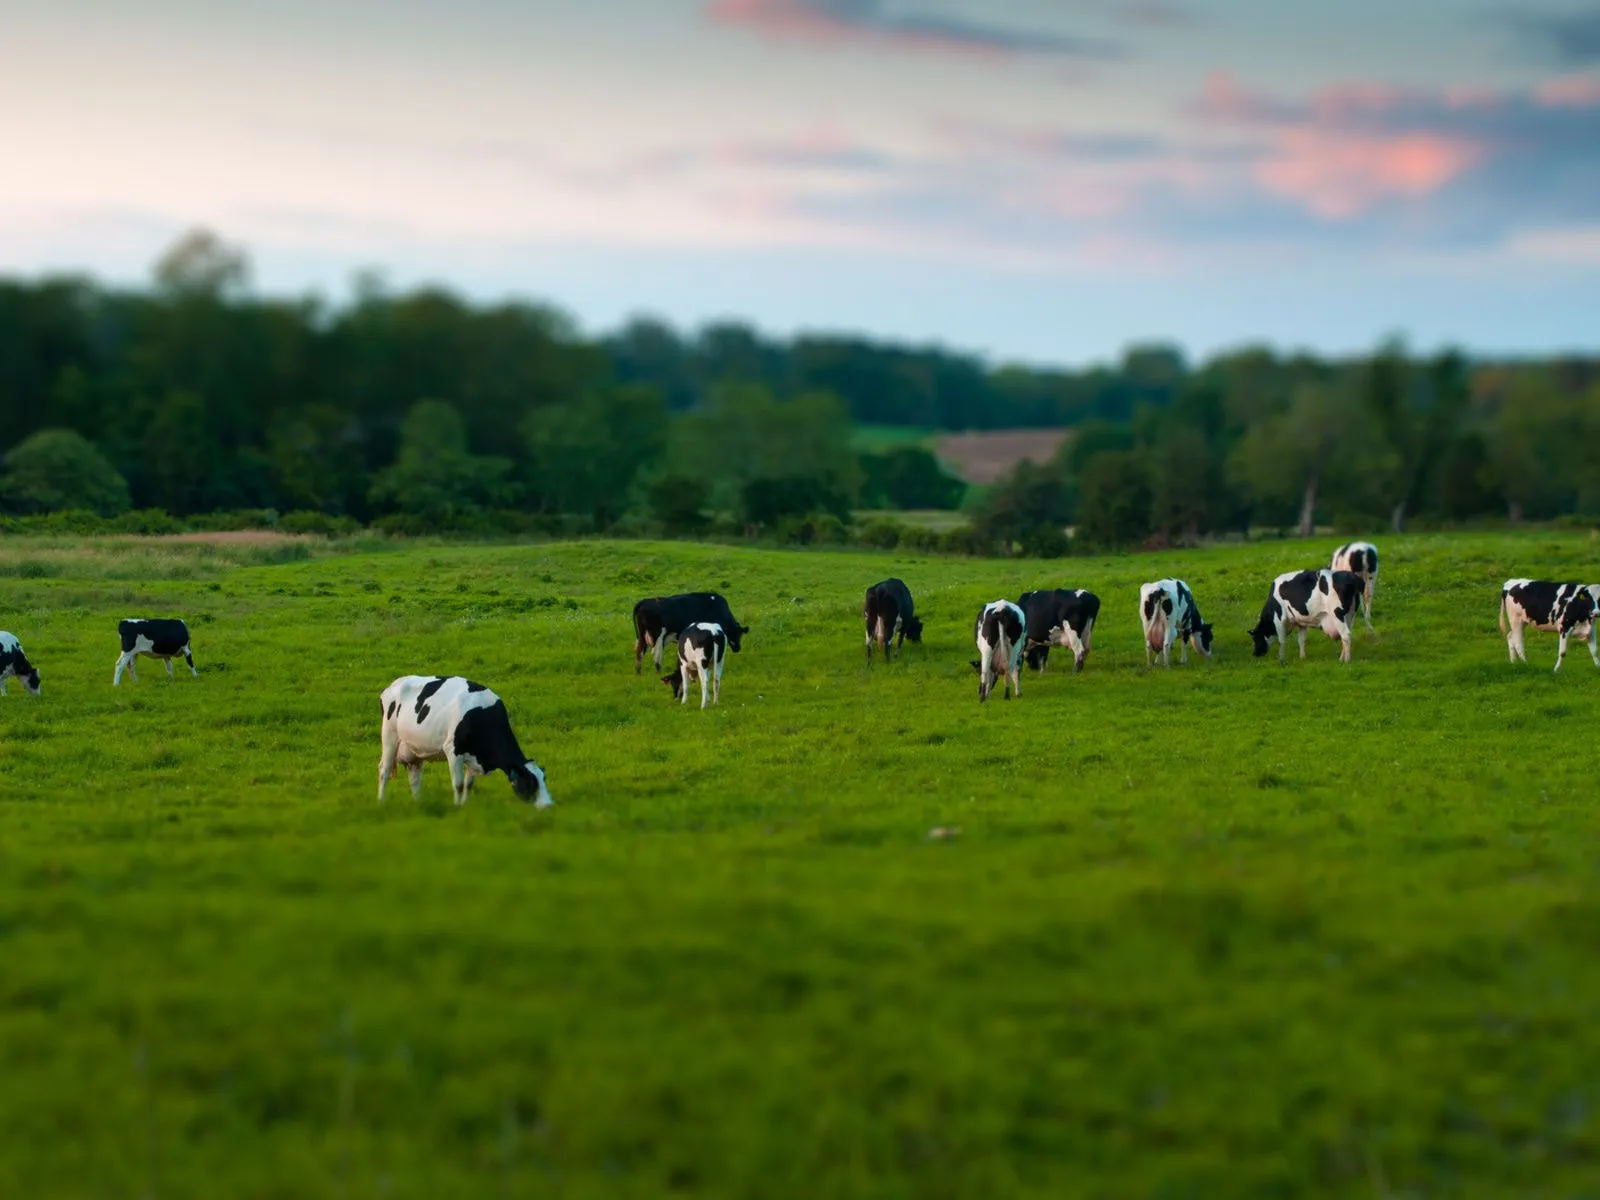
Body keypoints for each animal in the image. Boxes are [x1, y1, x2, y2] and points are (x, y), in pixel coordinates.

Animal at [377, 678, 553, 809]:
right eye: (530, 782)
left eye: (544, 779)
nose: (548, 805)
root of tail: (394, 684)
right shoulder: (453, 751)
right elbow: (459, 784)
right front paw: (457, 807)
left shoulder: (473, 756)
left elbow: (468, 784)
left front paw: (465, 806)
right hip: (389, 736)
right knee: (384, 771)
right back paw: (382, 801)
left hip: (414, 749)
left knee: (414, 777)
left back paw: (418, 802)